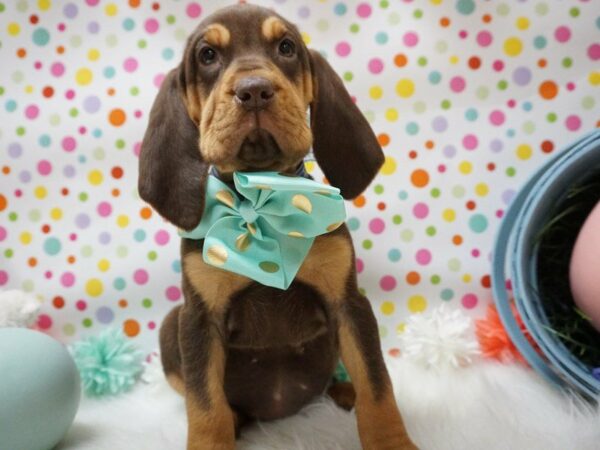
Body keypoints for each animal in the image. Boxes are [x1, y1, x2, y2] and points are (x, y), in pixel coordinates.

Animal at [138, 3, 414, 450]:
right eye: (207, 56)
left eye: (286, 47)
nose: (254, 90)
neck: (260, 194)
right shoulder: (198, 320)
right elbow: (205, 407)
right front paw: (214, 434)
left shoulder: (349, 304)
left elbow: (377, 386)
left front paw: (392, 441)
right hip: (170, 325)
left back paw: (344, 391)